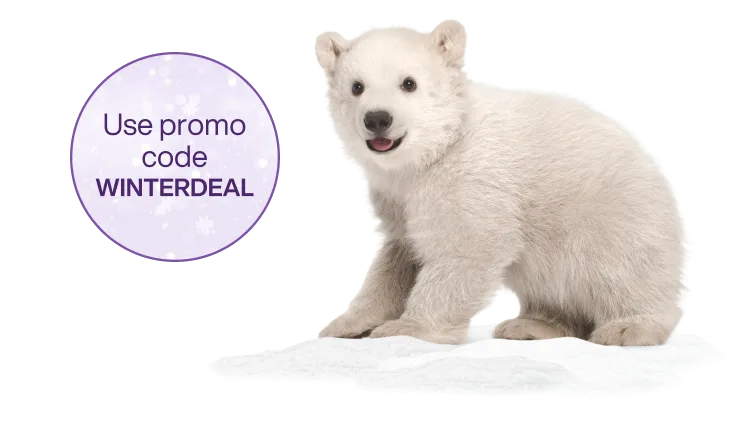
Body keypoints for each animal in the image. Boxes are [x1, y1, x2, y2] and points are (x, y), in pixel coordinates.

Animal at [314, 19, 692, 346]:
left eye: (409, 83)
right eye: (357, 87)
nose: (377, 118)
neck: (442, 145)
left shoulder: (471, 177)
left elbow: (467, 248)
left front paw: (406, 328)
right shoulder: (396, 197)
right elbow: (398, 258)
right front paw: (344, 325)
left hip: (616, 214)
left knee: (620, 269)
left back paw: (628, 327)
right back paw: (530, 325)